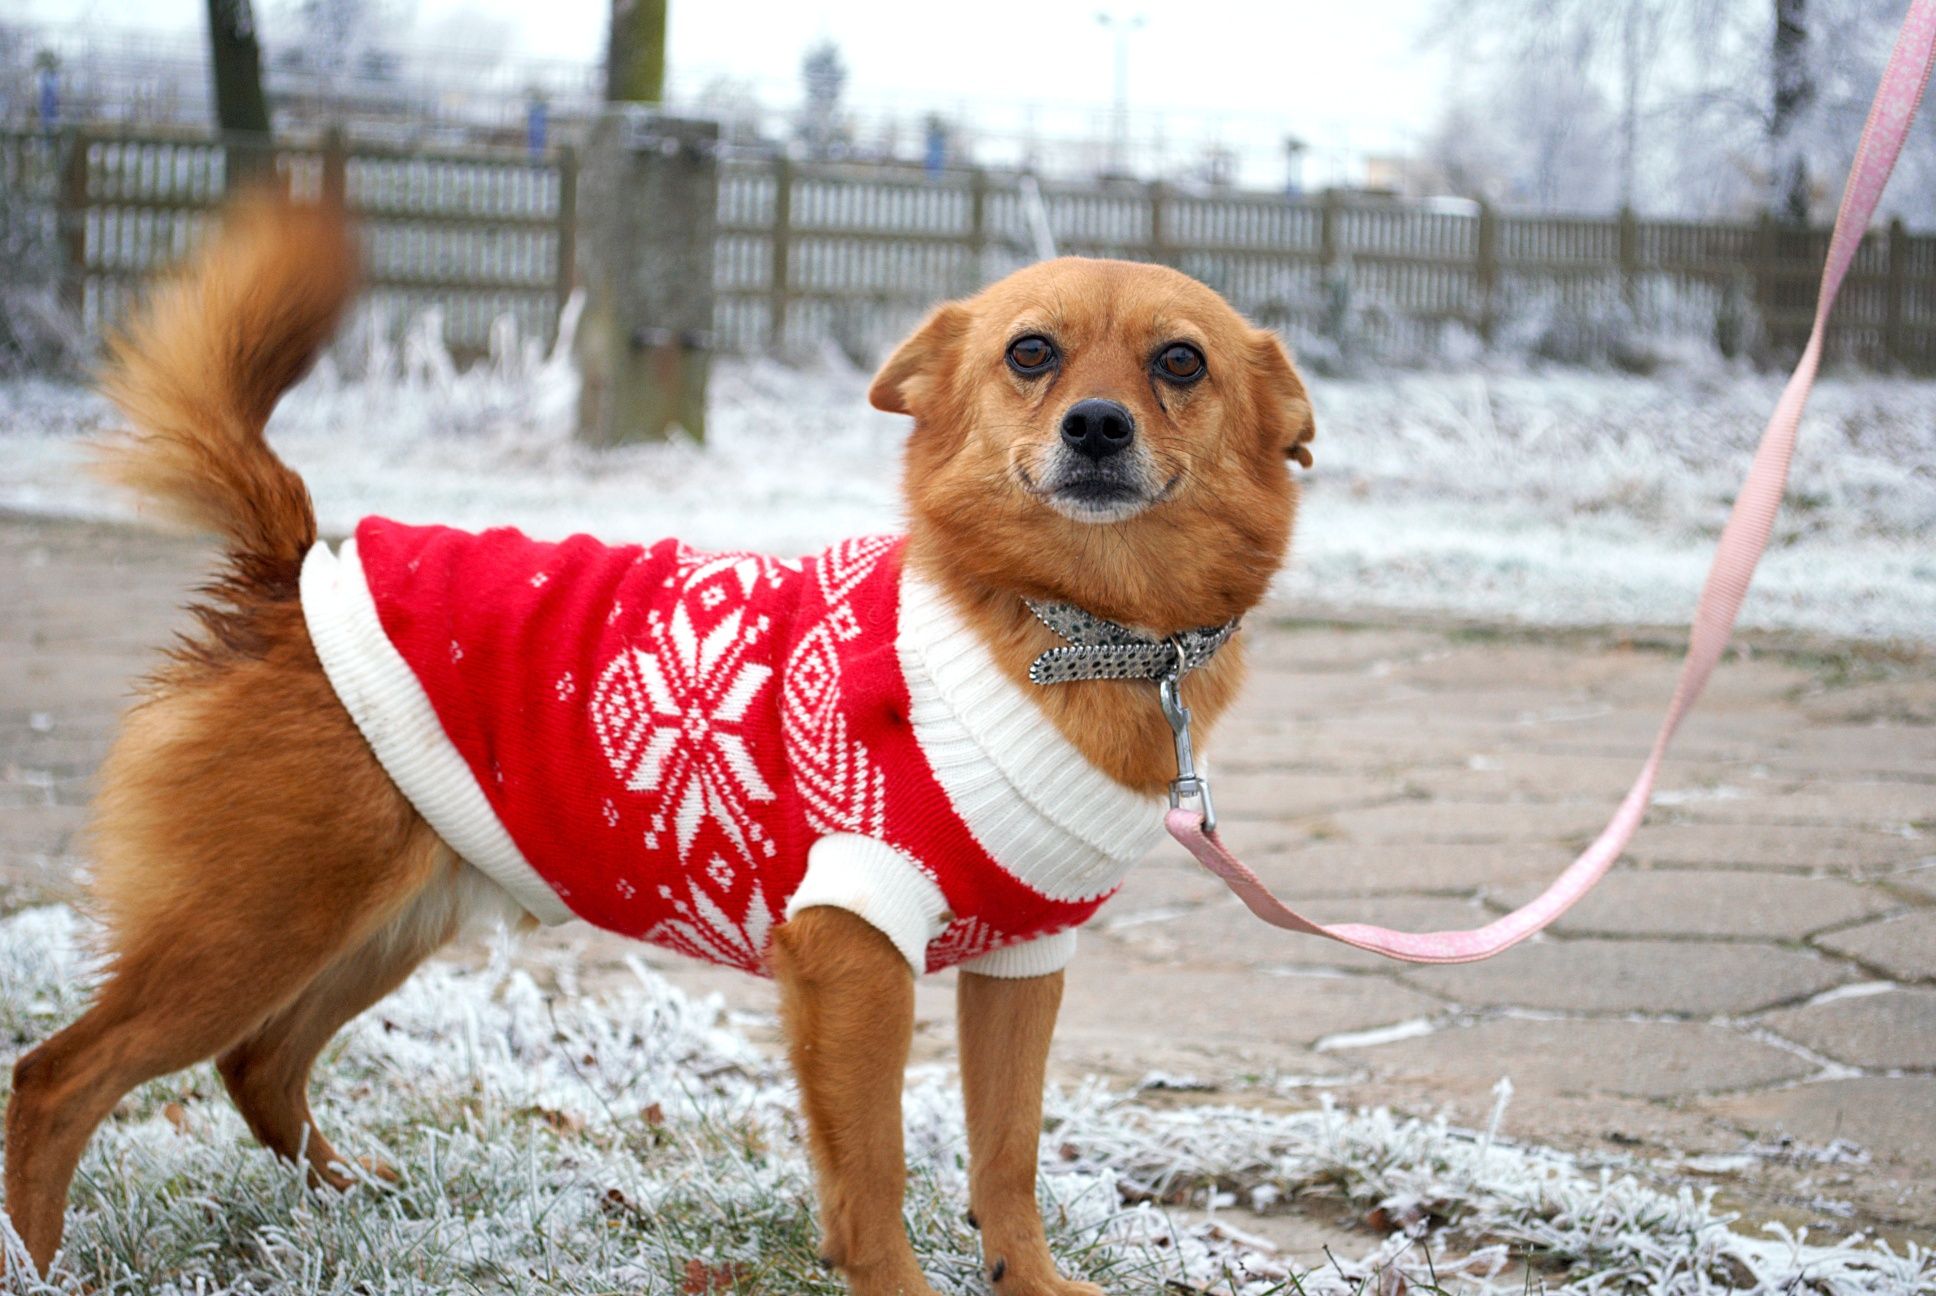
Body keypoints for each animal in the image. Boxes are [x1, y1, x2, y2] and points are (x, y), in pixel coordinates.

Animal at [3, 194, 1316, 1294]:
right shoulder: (854, 950)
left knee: (259, 1069)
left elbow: (1007, 1159)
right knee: (59, 1078)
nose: (1096, 427)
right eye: (1030, 354)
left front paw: (1030, 1283)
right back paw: (42, 1265)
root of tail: (289, 572)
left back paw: (347, 1203)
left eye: (1180, 362)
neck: (1069, 627)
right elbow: (875, 1173)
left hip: (374, 921)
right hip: (251, 928)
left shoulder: (1022, 966)